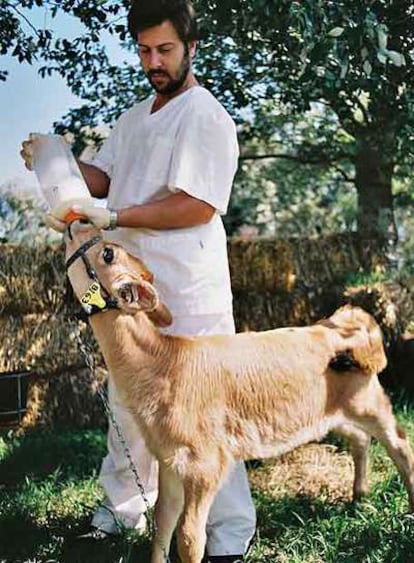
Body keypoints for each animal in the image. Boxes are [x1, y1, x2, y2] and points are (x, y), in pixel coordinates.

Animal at [64, 224, 414, 563]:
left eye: (107, 253)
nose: (74, 225)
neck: (162, 362)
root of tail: (341, 323)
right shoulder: (169, 459)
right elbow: (163, 523)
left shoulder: (205, 463)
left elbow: (189, 537)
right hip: (328, 414)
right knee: (360, 439)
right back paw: (359, 495)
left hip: (368, 402)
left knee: (399, 443)